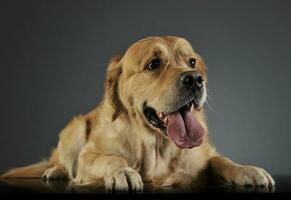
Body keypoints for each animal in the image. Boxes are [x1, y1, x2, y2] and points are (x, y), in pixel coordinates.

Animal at [1, 36, 276, 192]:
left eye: (192, 62)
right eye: (153, 64)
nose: (195, 79)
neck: (156, 145)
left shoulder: (203, 155)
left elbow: (221, 160)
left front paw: (248, 171)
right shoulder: (89, 155)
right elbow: (111, 159)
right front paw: (123, 172)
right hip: (76, 127)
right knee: (62, 161)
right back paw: (55, 171)